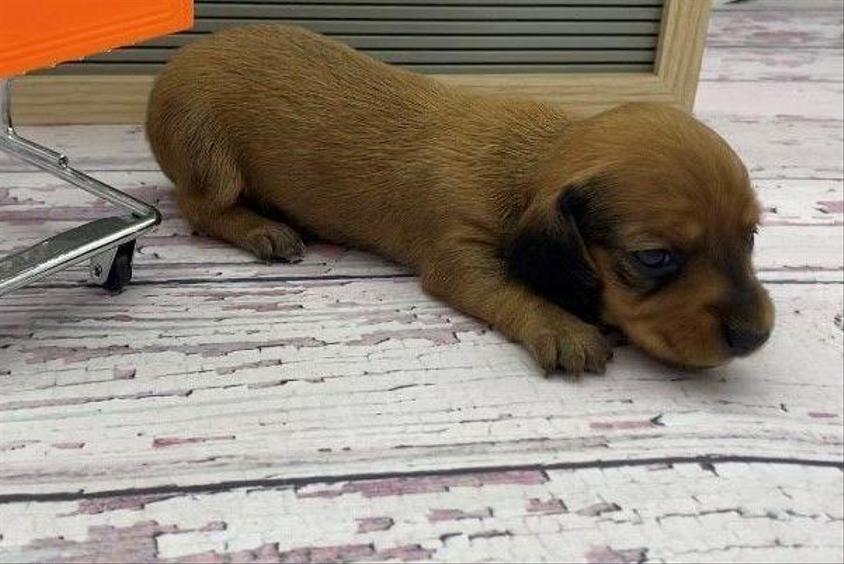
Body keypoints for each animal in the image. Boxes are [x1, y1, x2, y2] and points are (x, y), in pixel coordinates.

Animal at [148, 24, 776, 374]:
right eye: (654, 258)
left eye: (750, 236)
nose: (757, 338)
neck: (529, 162)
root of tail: (176, 64)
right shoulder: (460, 254)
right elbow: (509, 287)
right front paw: (564, 328)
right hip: (207, 154)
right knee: (199, 207)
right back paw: (262, 228)